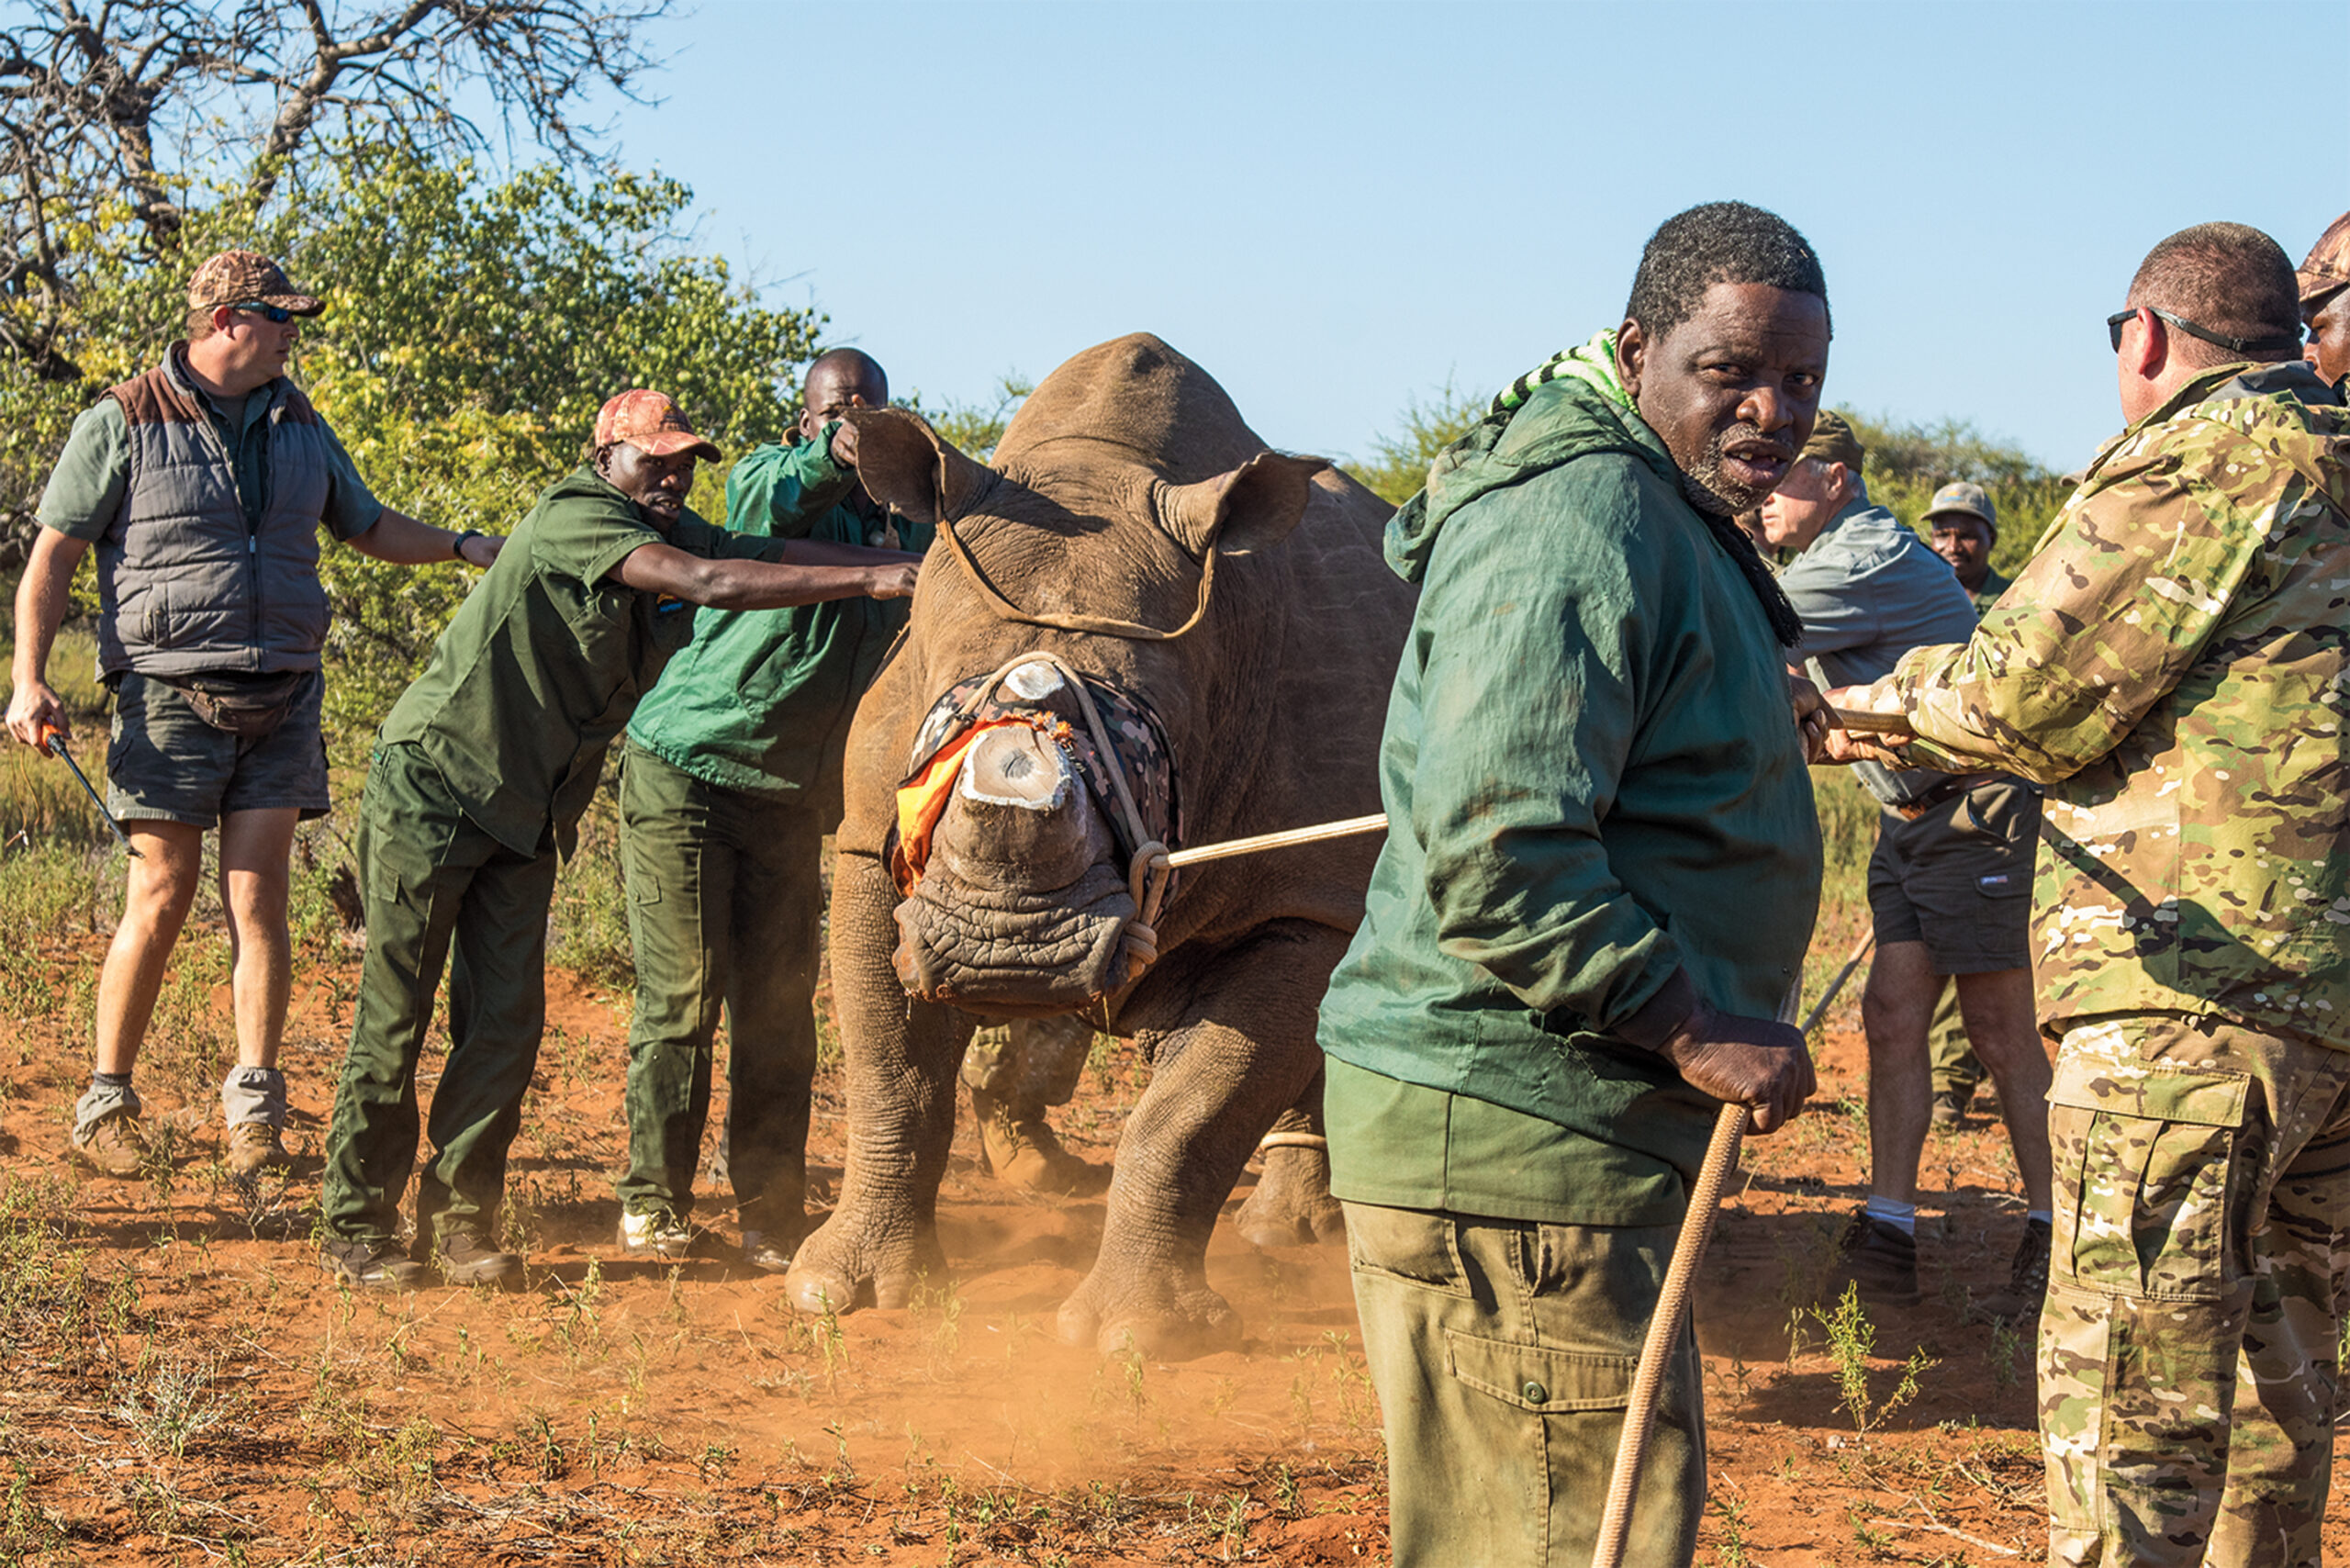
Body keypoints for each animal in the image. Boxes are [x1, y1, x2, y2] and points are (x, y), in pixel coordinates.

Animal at [783, 334, 1414, 1357]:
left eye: (1142, 749)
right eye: (944, 724)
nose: (1006, 954)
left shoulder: (1308, 894)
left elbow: (1190, 1114)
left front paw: (1136, 1341)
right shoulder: (870, 848)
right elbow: (893, 1073)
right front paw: (842, 1295)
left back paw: (1289, 1238)